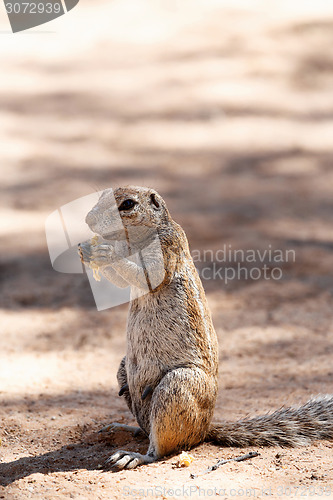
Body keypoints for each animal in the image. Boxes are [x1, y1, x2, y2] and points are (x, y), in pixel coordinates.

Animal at [78, 186, 332, 470]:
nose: (88, 220)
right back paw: (124, 428)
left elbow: (147, 276)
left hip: (179, 384)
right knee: (147, 426)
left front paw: (104, 253)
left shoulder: (167, 248)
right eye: (100, 197)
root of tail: (205, 429)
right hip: (125, 370)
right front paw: (87, 251)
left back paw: (134, 455)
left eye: (128, 204)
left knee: (163, 447)